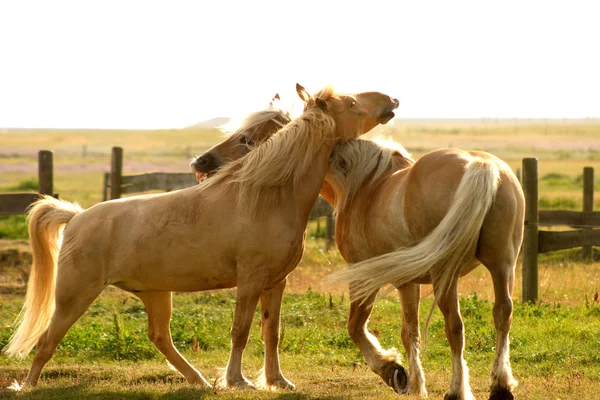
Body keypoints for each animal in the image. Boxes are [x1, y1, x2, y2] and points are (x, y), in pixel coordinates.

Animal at [4, 83, 400, 390]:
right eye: (351, 103)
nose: (391, 100)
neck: (267, 197)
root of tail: (76, 218)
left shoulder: (276, 283)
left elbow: (271, 331)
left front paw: (277, 381)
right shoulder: (250, 279)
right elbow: (240, 329)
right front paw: (237, 381)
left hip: (155, 294)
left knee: (160, 337)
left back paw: (199, 381)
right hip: (74, 297)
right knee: (47, 340)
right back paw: (27, 386)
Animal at [195, 123, 524, 398]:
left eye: (247, 138)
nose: (201, 162)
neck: (364, 184)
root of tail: (481, 166)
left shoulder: (362, 275)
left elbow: (356, 327)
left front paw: (391, 371)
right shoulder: (408, 282)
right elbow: (410, 332)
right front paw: (415, 385)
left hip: (447, 275)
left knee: (455, 326)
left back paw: (457, 390)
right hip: (502, 266)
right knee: (502, 315)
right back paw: (501, 384)